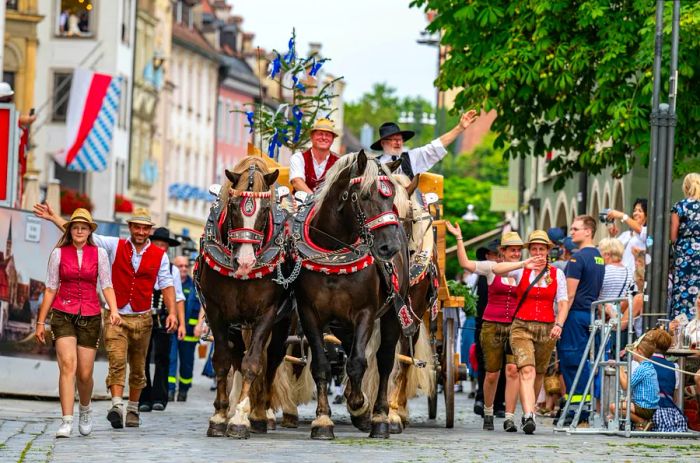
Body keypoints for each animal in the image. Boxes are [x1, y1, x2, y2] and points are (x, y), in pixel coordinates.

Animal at [196, 158, 288, 440]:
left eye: (265, 209)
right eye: (234, 206)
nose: (245, 262)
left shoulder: (266, 314)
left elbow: (253, 363)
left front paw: (240, 419)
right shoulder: (217, 312)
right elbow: (223, 361)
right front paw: (220, 415)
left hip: (283, 325)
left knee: (272, 361)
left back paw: (261, 414)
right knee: (236, 357)